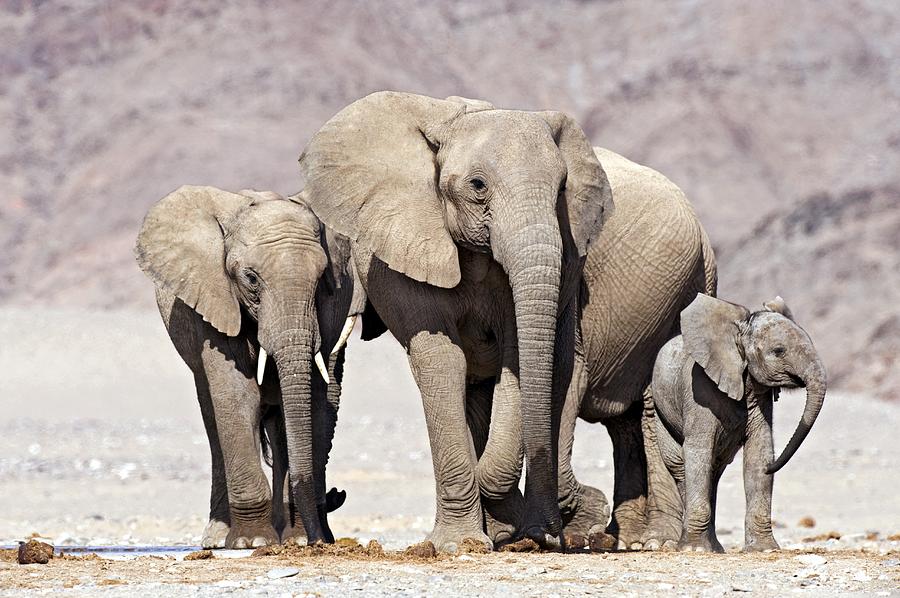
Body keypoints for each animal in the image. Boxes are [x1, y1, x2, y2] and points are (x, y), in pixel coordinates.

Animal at [134, 186, 358, 548]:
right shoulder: (213, 299)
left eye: (321, 279)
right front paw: (252, 542)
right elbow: (237, 396)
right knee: (214, 421)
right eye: (251, 278)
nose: (316, 542)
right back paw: (219, 537)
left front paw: (295, 540)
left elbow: (311, 401)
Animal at [298, 90, 616, 552]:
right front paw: (459, 544)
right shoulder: (407, 247)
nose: (550, 536)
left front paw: (500, 515)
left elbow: (517, 355)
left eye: (561, 188)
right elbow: (441, 359)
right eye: (478, 186)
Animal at [556, 148, 716, 552]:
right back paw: (621, 538)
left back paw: (654, 541)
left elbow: (566, 377)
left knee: (647, 409)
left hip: (683, 293)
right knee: (623, 426)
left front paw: (573, 530)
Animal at [644, 296, 828, 552]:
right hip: (659, 408)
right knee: (681, 466)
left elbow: (759, 452)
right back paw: (694, 545)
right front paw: (695, 550)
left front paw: (764, 549)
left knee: (714, 469)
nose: (773, 467)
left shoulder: (760, 397)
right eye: (779, 351)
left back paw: (715, 548)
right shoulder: (699, 389)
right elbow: (698, 450)